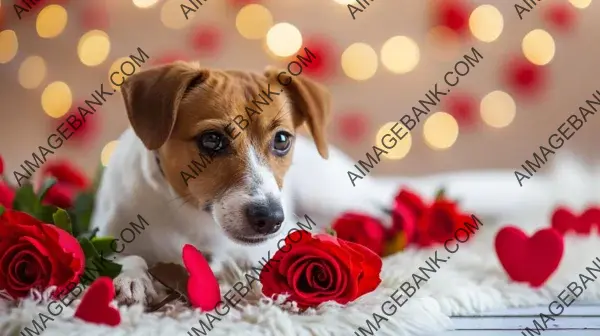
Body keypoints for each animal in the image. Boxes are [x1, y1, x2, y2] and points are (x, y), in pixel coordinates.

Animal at [92, 61, 564, 306]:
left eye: (282, 139)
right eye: (211, 140)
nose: (270, 218)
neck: (191, 215)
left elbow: (246, 258)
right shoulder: (104, 229)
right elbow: (122, 254)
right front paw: (132, 276)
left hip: (331, 195)